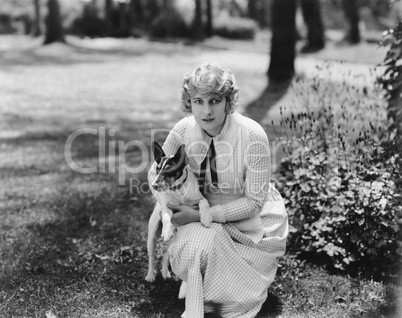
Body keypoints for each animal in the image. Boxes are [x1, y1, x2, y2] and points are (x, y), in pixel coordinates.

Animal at [145, 141, 214, 286]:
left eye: (169, 169)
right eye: (157, 169)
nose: (154, 186)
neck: (178, 190)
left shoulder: (199, 199)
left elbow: (204, 202)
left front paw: (206, 219)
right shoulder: (166, 207)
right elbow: (166, 216)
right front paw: (166, 230)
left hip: (173, 241)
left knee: (166, 256)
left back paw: (165, 273)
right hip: (151, 237)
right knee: (151, 257)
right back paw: (150, 275)